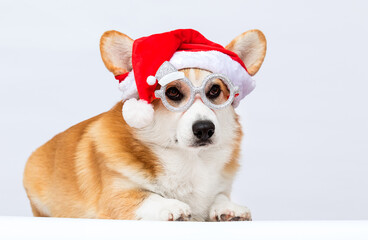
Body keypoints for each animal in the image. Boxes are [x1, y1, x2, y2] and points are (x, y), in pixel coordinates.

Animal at [23, 29, 266, 221]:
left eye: (214, 90)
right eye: (172, 92)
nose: (205, 128)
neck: (189, 161)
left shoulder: (219, 186)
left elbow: (220, 195)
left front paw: (229, 208)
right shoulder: (116, 195)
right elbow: (146, 195)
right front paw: (172, 205)